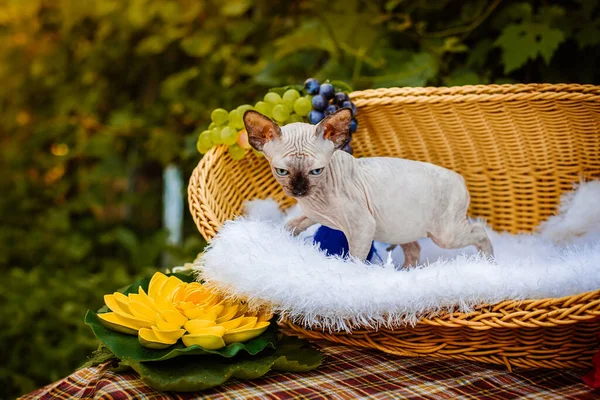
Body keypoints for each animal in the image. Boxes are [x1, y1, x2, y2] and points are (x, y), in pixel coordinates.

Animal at [243, 108, 492, 268]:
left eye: (316, 171)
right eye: (281, 171)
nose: (299, 190)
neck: (316, 199)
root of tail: (459, 177)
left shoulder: (362, 226)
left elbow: (354, 260)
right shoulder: (311, 215)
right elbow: (291, 225)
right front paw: (279, 241)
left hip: (445, 234)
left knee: (479, 231)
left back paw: (489, 263)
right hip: (404, 226)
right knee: (414, 249)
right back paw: (404, 272)